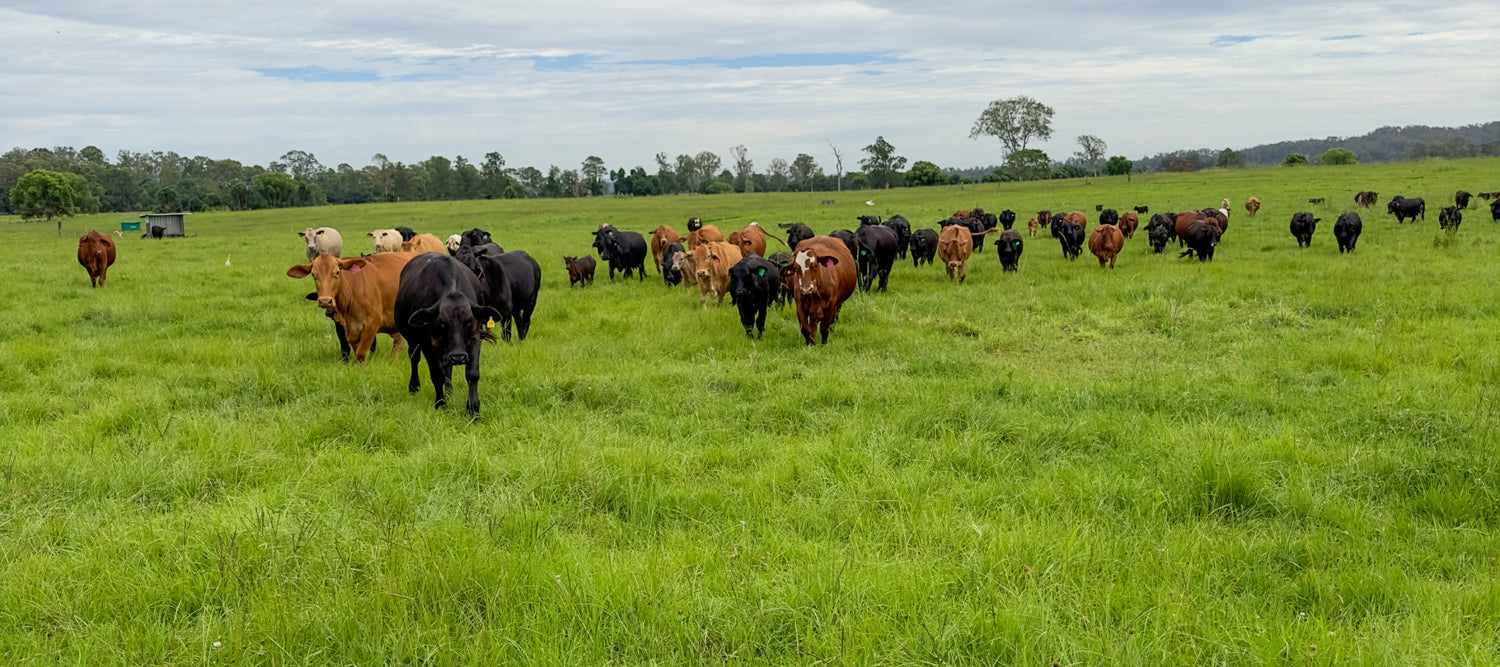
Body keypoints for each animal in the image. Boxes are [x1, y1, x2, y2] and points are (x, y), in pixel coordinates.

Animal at [394, 253, 502, 419]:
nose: (458, 357)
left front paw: (473, 410)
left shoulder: (474, 339)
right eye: (442, 323)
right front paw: (440, 404)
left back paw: (450, 393)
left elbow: (472, 374)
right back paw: (414, 386)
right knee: (414, 358)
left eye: (468, 322)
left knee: (447, 368)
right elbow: (436, 374)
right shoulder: (427, 344)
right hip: (414, 341)